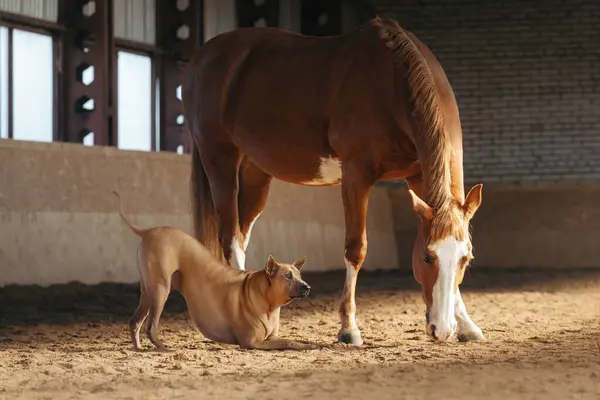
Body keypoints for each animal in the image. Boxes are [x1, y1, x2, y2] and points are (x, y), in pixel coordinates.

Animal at [114, 191, 316, 350]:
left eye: (299, 275)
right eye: (288, 276)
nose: (307, 287)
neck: (269, 303)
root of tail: (148, 231)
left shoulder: (271, 336)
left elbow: (298, 339)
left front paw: (314, 343)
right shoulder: (251, 342)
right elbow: (288, 342)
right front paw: (301, 345)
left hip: (148, 290)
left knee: (135, 321)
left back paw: (138, 348)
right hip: (160, 289)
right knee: (150, 327)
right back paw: (163, 348)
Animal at [183, 17, 488, 346]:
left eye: (466, 259)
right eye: (426, 257)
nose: (442, 330)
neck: (390, 83)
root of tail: (202, 57)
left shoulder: (418, 177)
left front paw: (467, 325)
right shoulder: (356, 175)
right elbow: (356, 249)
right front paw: (348, 328)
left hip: (255, 171)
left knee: (241, 234)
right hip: (220, 160)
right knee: (230, 237)